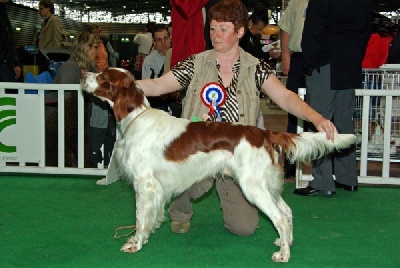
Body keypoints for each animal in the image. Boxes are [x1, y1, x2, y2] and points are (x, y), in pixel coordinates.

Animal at [81, 68, 356, 262]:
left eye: (104, 76)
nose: (83, 74)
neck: (136, 118)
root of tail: (265, 133)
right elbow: (148, 218)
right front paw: (145, 237)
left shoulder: (145, 184)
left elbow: (140, 218)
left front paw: (135, 244)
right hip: (265, 184)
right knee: (286, 212)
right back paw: (284, 242)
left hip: (252, 186)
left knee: (278, 216)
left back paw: (283, 255)